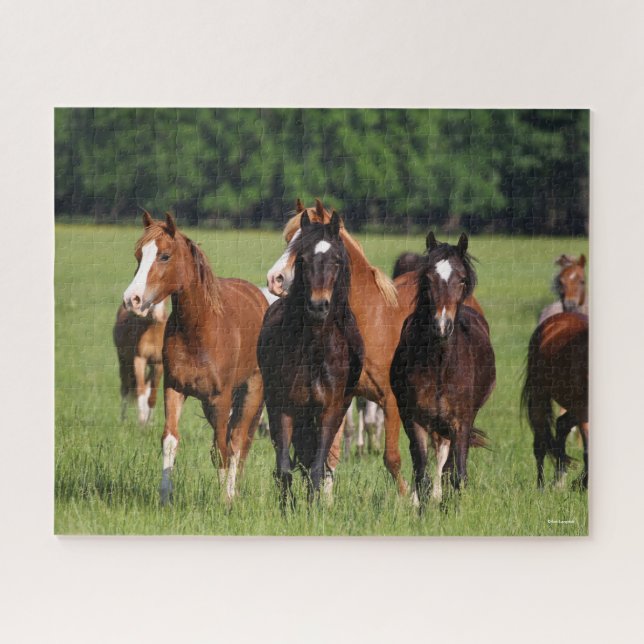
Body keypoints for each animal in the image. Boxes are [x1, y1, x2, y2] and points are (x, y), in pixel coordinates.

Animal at [123, 211, 268, 503]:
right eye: (138, 255)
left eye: (164, 256)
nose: (132, 299)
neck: (199, 329)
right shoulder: (174, 388)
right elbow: (170, 440)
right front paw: (165, 497)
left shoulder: (221, 398)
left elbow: (224, 447)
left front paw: (225, 501)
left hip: (252, 391)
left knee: (237, 439)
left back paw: (232, 493)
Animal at [258, 211, 363, 505]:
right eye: (302, 259)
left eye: (337, 260)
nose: (318, 306)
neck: (315, 350)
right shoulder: (284, 408)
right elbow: (284, 469)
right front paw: (287, 509)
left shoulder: (329, 411)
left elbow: (316, 468)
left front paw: (313, 508)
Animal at [390, 232, 496, 506]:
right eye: (428, 278)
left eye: (462, 279)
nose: (442, 325)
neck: (439, 364)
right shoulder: (415, 420)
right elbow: (421, 474)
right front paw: (421, 506)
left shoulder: (461, 422)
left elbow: (458, 474)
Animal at [522, 311, 589, 488]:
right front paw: (582, 484)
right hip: (540, 397)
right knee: (540, 444)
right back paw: (541, 487)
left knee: (561, 424)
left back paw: (559, 480)